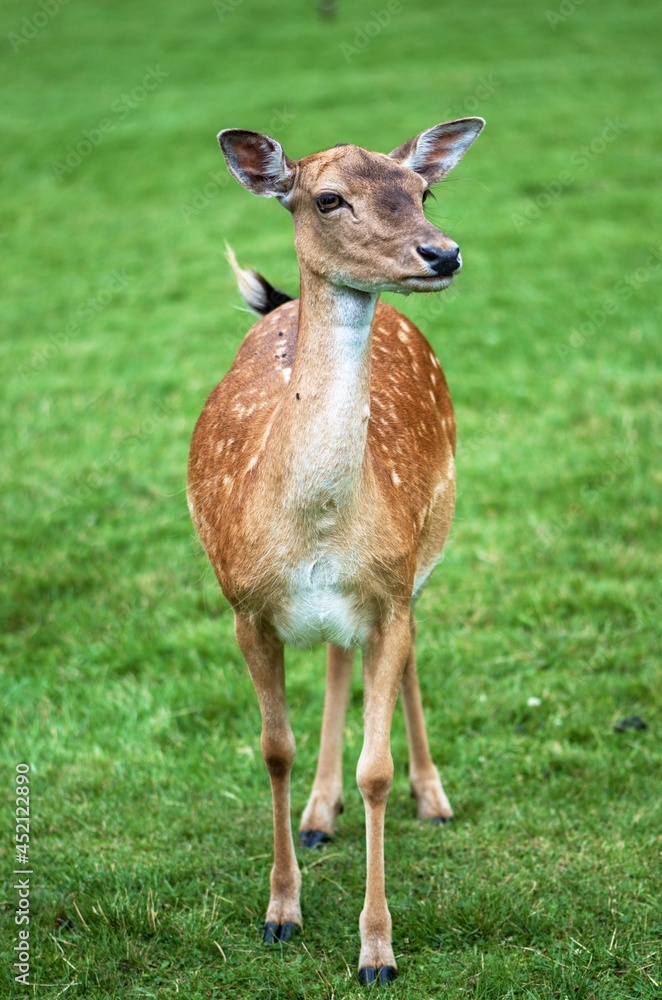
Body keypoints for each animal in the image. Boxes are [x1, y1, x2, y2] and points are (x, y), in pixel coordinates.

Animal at [187, 117, 485, 984]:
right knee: (335, 655)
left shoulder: (388, 591)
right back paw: (319, 814)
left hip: (426, 547)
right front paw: (280, 912)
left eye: (422, 190)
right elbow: (273, 750)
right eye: (327, 198)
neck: (313, 526)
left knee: (397, 652)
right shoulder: (245, 607)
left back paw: (432, 797)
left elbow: (375, 768)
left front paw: (377, 951)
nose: (442, 253)